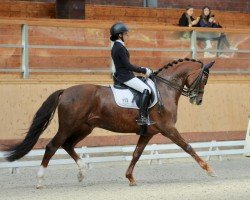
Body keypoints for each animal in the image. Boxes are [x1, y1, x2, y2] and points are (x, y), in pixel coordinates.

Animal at [5, 57, 217, 188]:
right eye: (204, 78)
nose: (198, 100)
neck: (165, 88)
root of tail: (65, 91)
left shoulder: (148, 133)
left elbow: (136, 154)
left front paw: (130, 178)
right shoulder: (168, 129)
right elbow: (188, 147)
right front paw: (210, 170)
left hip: (85, 128)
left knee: (68, 145)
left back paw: (82, 172)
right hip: (68, 125)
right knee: (52, 146)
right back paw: (40, 181)